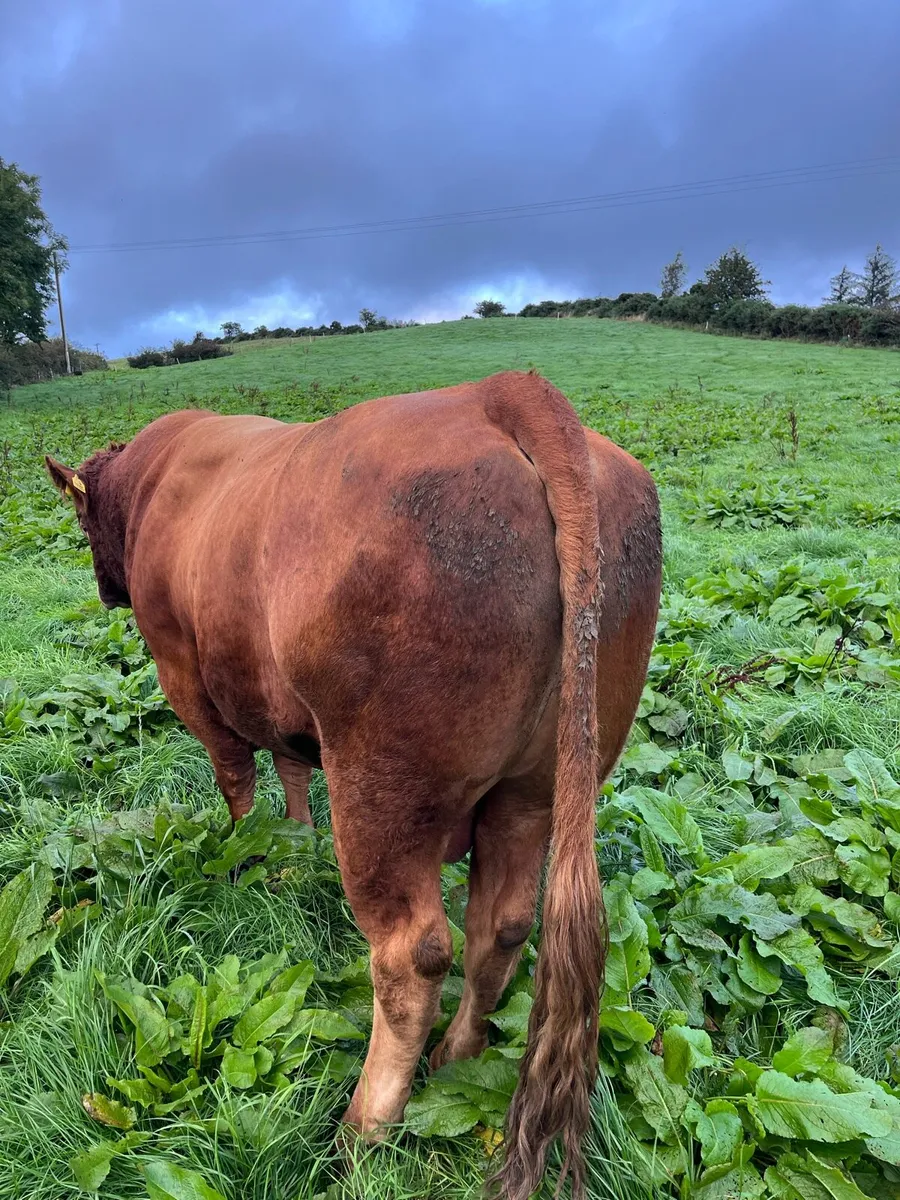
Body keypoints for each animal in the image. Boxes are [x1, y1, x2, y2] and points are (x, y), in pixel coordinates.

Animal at [47, 369, 661, 1199]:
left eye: (82, 521)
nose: (104, 588)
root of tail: (497, 391)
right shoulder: (273, 699)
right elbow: (287, 766)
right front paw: (292, 845)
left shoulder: (188, 677)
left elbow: (237, 780)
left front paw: (245, 857)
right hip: (535, 787)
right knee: (499, 926)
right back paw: (455, 1059)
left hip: (382, 791)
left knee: (411, 955)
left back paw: (361, 1132)